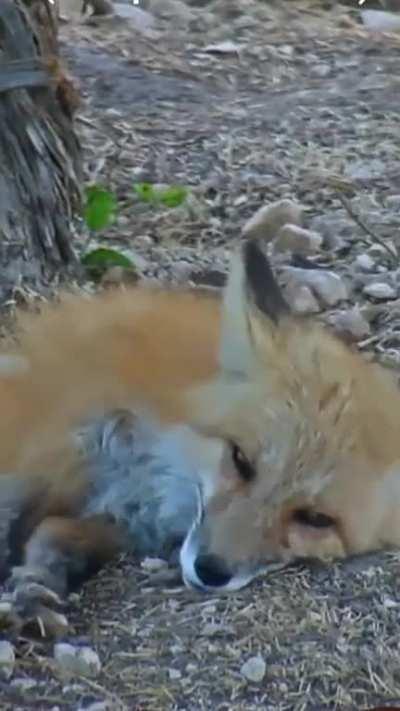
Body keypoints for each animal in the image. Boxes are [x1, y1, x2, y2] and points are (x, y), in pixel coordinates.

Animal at [0, 238, 400, 637]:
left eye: (316, 519)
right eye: (241, 461)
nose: (211, 571)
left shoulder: (112, 519)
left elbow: (54, 536)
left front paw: (35, 587)